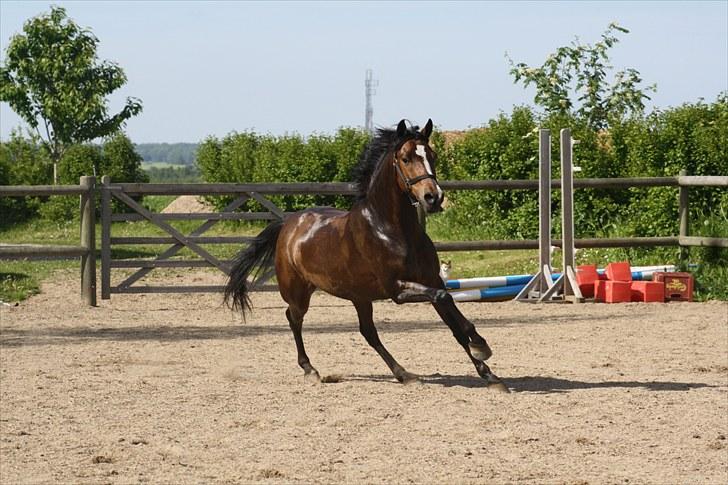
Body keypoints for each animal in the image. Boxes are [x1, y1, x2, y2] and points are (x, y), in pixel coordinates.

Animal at [224, 119, 508, 392]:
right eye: (405, 158)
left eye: (432, 155)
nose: (433, 198)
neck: (392, 229)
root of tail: (288, 224)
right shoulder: (397, 290)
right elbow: (445, 300)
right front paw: (481, 346)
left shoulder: (432, 280)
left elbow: (453, 321)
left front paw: (489, 373)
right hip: (299, 293)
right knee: (294, 319)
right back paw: (310, 370)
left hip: (359, 297)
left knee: (368, 332)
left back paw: (405, 375)